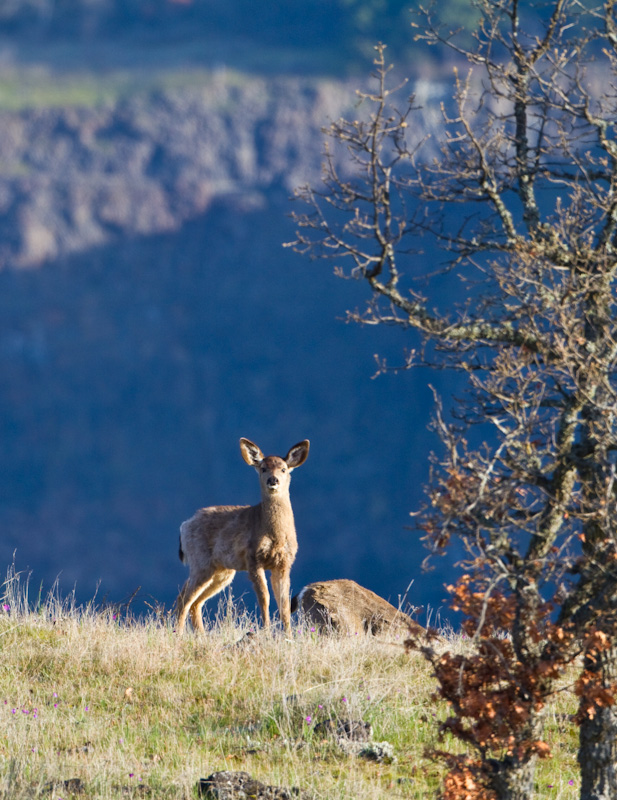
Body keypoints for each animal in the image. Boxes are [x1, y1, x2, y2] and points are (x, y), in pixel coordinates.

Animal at [176, 434, 310, 636]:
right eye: (263, 468)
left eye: (284, 469)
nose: (273, 480)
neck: (275, 535)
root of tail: (184, 526)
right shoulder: (253, 558)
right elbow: (264, 597)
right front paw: (266, 631)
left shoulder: (284, 563)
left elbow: (284, 603)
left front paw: (288, 634)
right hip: (201, 562)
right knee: (185, 598)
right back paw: (178, 633)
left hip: (221, 571)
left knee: (194, 600)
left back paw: (200, 635)